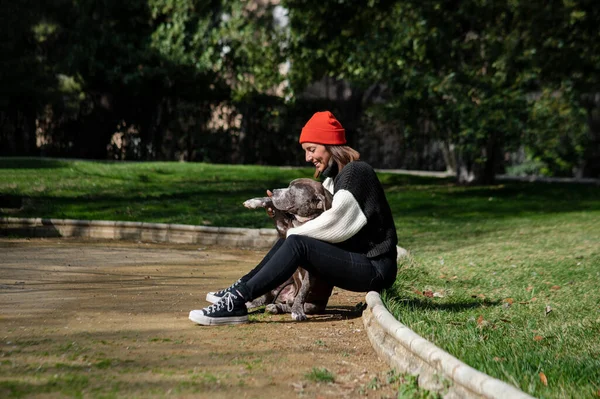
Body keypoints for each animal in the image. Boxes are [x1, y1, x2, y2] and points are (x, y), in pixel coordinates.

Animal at [244, 178, 338, 322]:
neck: (305, 221)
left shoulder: (312, 271)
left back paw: (277, 307)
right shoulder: (285, 229)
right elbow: (273, 206)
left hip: (313, 305)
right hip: (279, 283)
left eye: (292, 191)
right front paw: (254, 201)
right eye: (288, 186)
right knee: (263, 298)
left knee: (290, 304)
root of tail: (286, 297)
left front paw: (297, 311)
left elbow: (303, 291)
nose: (274, 190)